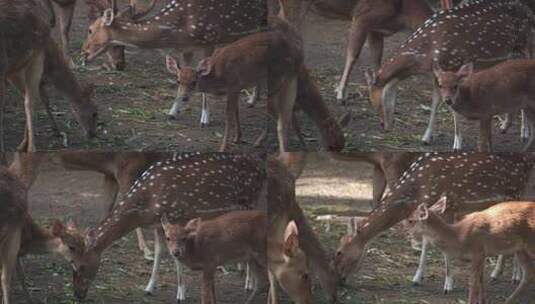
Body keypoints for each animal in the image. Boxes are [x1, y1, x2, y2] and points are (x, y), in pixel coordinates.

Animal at [54, 153, 268, 300]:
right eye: (69, 263)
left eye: (80, 266)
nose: (77, 294)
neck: (147, 205)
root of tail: (261, 168)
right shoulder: (158, 225)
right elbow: (159, 253)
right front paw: (149, 287)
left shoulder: (177, 215)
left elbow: (175, 257)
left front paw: (180, 294)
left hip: (250, 200)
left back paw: (249, 282)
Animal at [332, 153, 532, 294]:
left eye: (339, 252)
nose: (339, 280)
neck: (418, 188)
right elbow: (426, 243)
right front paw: (416, 278)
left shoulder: (450, 205)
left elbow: (444, 248)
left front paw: (448, 285)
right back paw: (502, 274)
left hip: (516, 192)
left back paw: (511, 275)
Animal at [364, 0, 535, 150]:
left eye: (375, 102)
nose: (383, 126)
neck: (426, 54)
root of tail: (529, 12)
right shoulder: (437, 74)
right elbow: (434, 102)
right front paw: (426, 138)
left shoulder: (453, 64)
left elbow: (452, 107)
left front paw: (457, 144)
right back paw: (505, 125)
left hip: (524, 46)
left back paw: (524, 132)